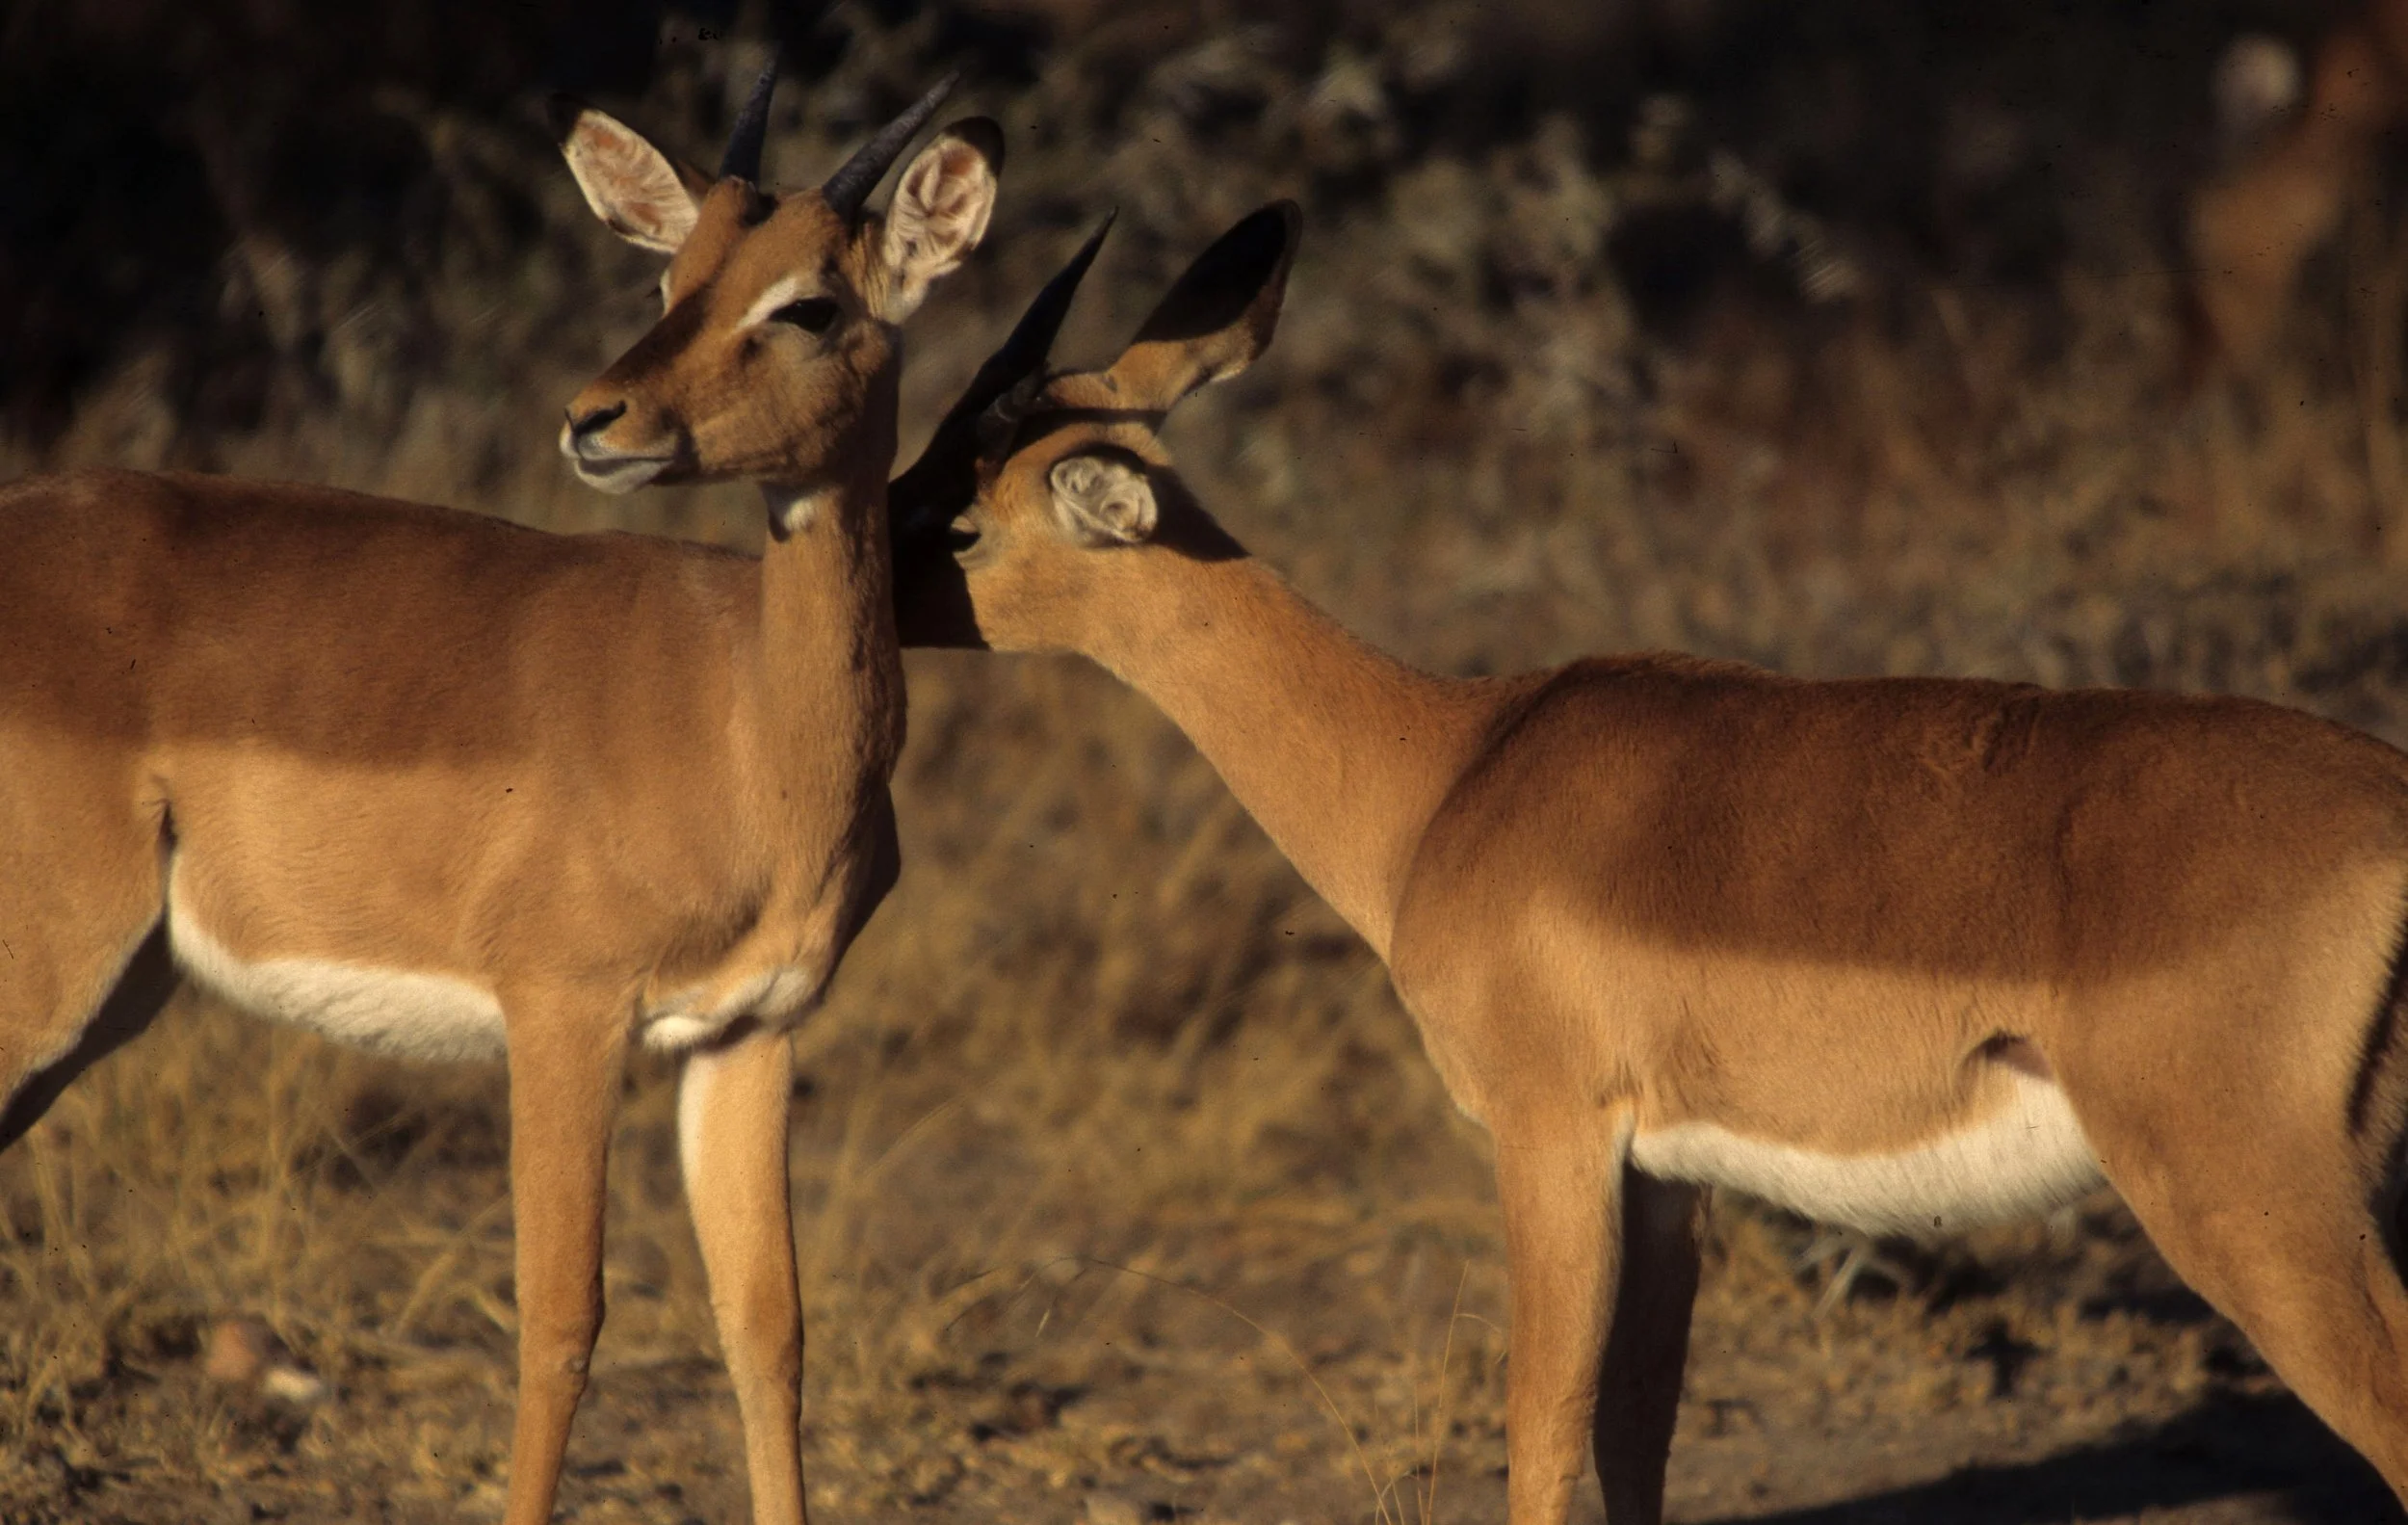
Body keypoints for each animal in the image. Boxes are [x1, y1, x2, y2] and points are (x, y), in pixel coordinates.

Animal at [0, 61, 999, 1525]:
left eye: (808, 301)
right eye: (670, 276)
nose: (595, 421)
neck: (746, 714)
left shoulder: (748, 1030)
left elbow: (768, 1329)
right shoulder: (565, 1010)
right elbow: (560, 1323)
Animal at [891, 204, 2408, 1523]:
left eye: (964, 521)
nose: (855, 578)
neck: (1447, 770)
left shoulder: (1551, 1134)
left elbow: (1540, 1435)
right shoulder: (1668, 1177)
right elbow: (1634, 1436)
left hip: (2253, 1204)